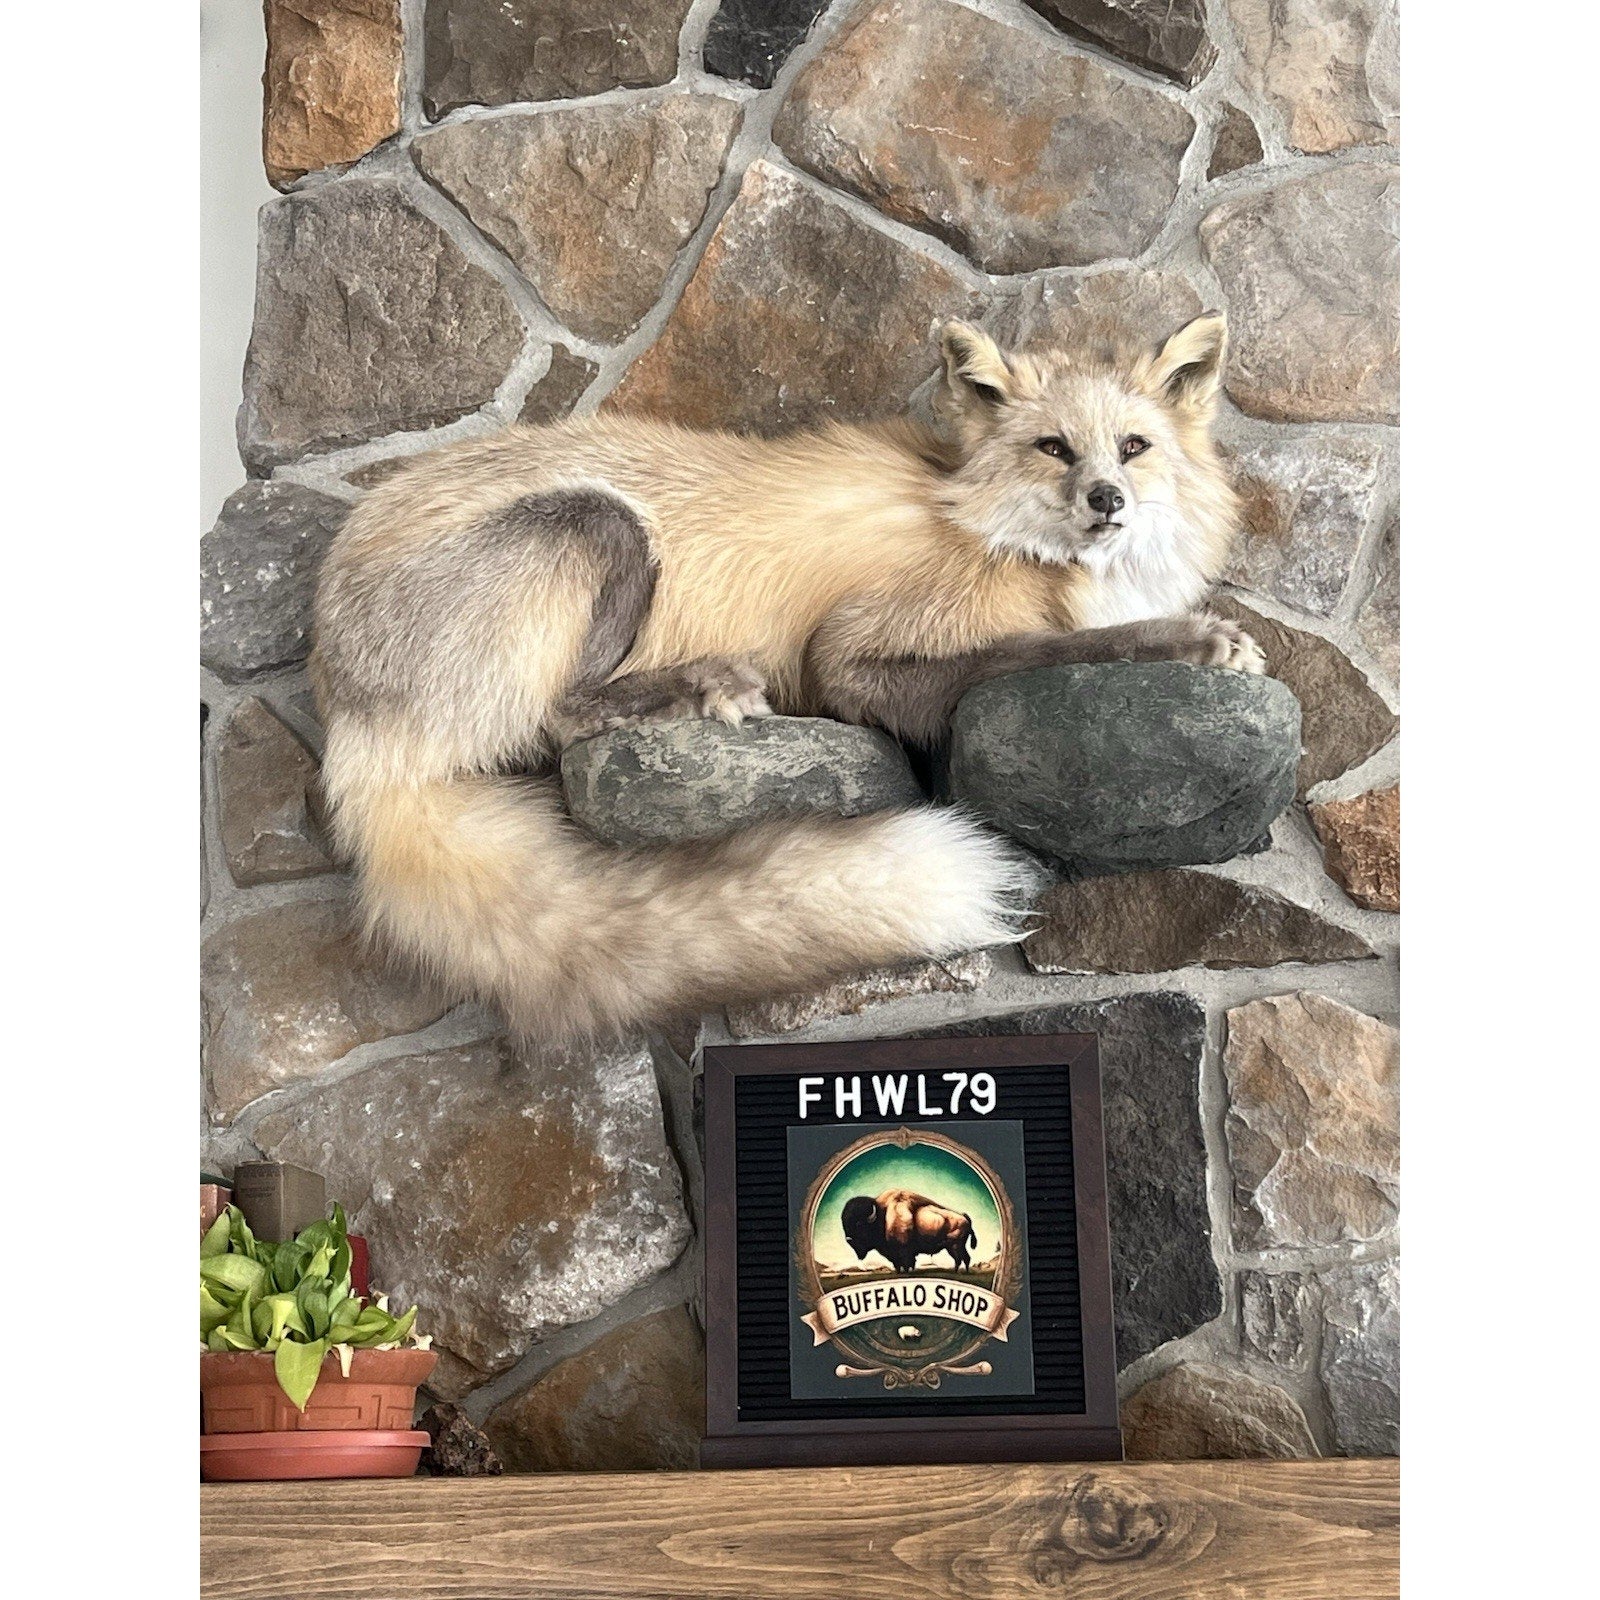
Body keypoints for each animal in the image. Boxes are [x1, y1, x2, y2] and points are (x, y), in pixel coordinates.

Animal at [310, 310, 1262, 1042]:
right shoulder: (852, 656)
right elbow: (1036, 652)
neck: (984, 526)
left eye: (1133, 447)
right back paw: (697, 685)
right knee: (565, 716)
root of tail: (347, 717)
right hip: (597, 525)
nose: (1107, 499)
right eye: (1054, 448)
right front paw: (1190, 641)